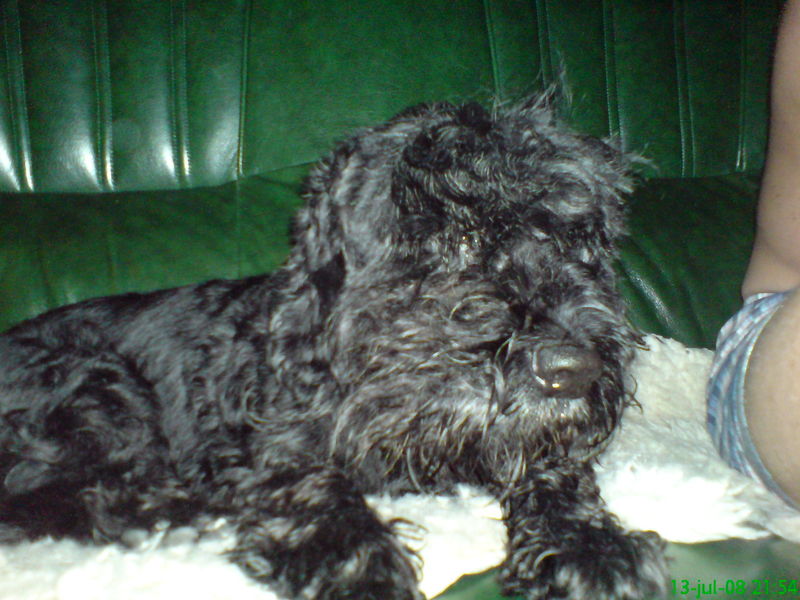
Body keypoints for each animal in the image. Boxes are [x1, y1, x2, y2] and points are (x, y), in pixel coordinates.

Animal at [0, 96, 667, 600]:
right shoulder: (262, 448)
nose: (573, 369)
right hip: (99, 384)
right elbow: (317, 488)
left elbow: (555, 471)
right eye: (449, 238)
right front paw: (362, 564)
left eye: (576, 242)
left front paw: (591, 547)